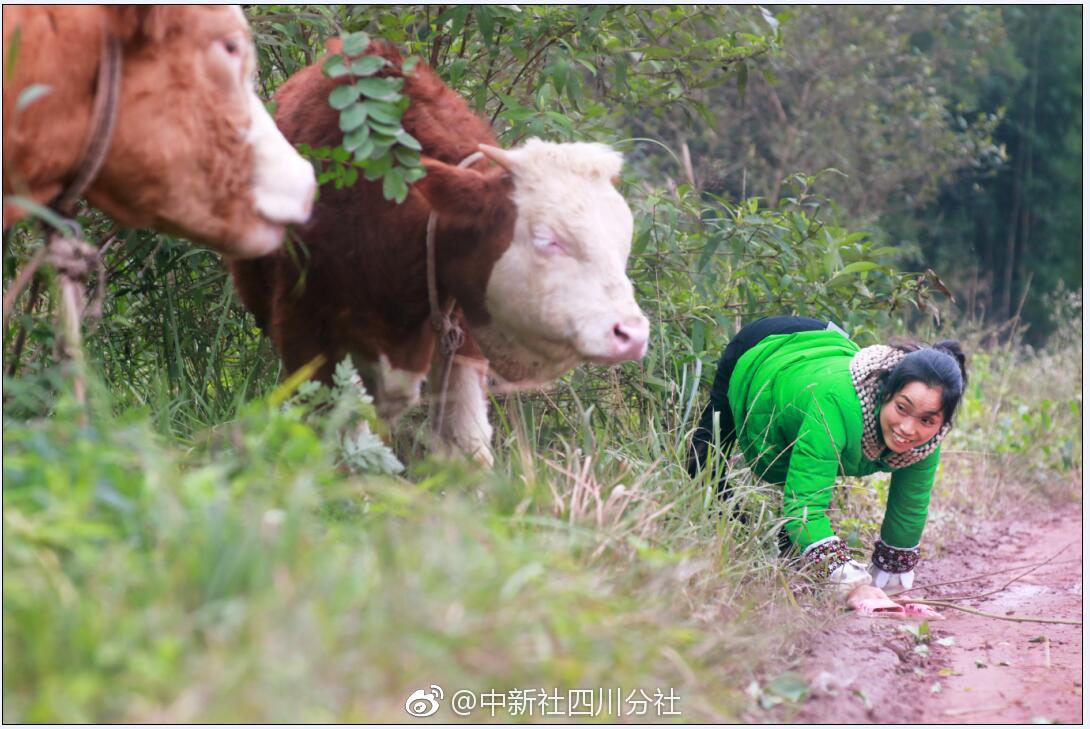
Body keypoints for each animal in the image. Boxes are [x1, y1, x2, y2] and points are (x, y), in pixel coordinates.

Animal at [223, 39, 645, 464]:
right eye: (548, 239)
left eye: (623, 242)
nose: (633, 334)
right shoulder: (305, 334)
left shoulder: (462, 332)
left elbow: (467, 445)